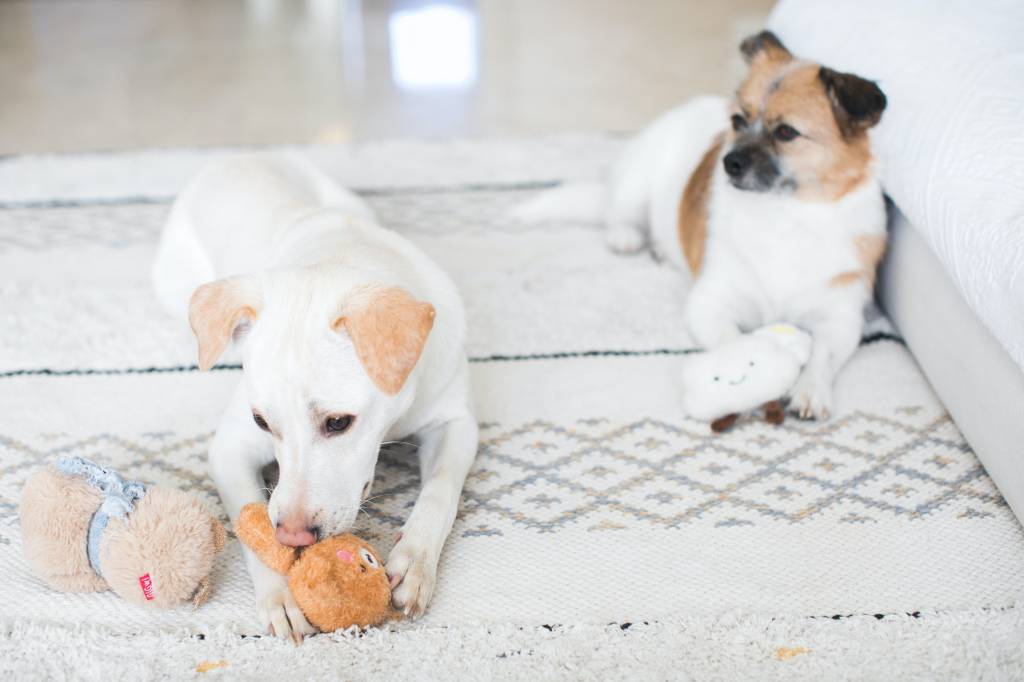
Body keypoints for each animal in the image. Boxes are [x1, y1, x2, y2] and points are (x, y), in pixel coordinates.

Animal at [149, 153, 477, 638]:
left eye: (338, 422)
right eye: (262, 422)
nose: (294, 535)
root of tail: (238, 158)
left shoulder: (456, 421)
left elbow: (440, 489)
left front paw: (414, 562)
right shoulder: (229, 448)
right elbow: (250, 521)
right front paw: (279, 596)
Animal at [520, 31, 888, 419]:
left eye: (787, 132)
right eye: (738, 121)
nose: (729, 162)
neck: (784, 214)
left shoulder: (841, 319)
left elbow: (823, 355)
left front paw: (810, 389)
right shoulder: (710, 303)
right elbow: (734, 342)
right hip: (635, 185)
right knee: (617, 213)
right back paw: (627, 237)